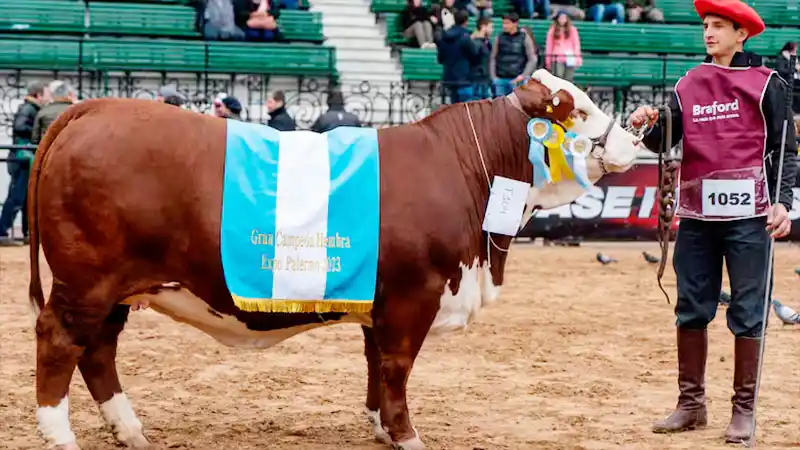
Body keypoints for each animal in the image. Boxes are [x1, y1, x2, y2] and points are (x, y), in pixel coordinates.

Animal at [26, 71, 644, 450]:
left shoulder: (381, 300)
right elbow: (396, 369)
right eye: (580, 109)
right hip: (85, 282)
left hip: (117, 288)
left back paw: (128, 430)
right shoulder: (414, 296)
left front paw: (380, 429)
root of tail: (93, 107)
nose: (639, 130)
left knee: (98, 351)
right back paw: (61, 435)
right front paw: (407, 435)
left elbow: (375, 366)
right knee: (60, 342)